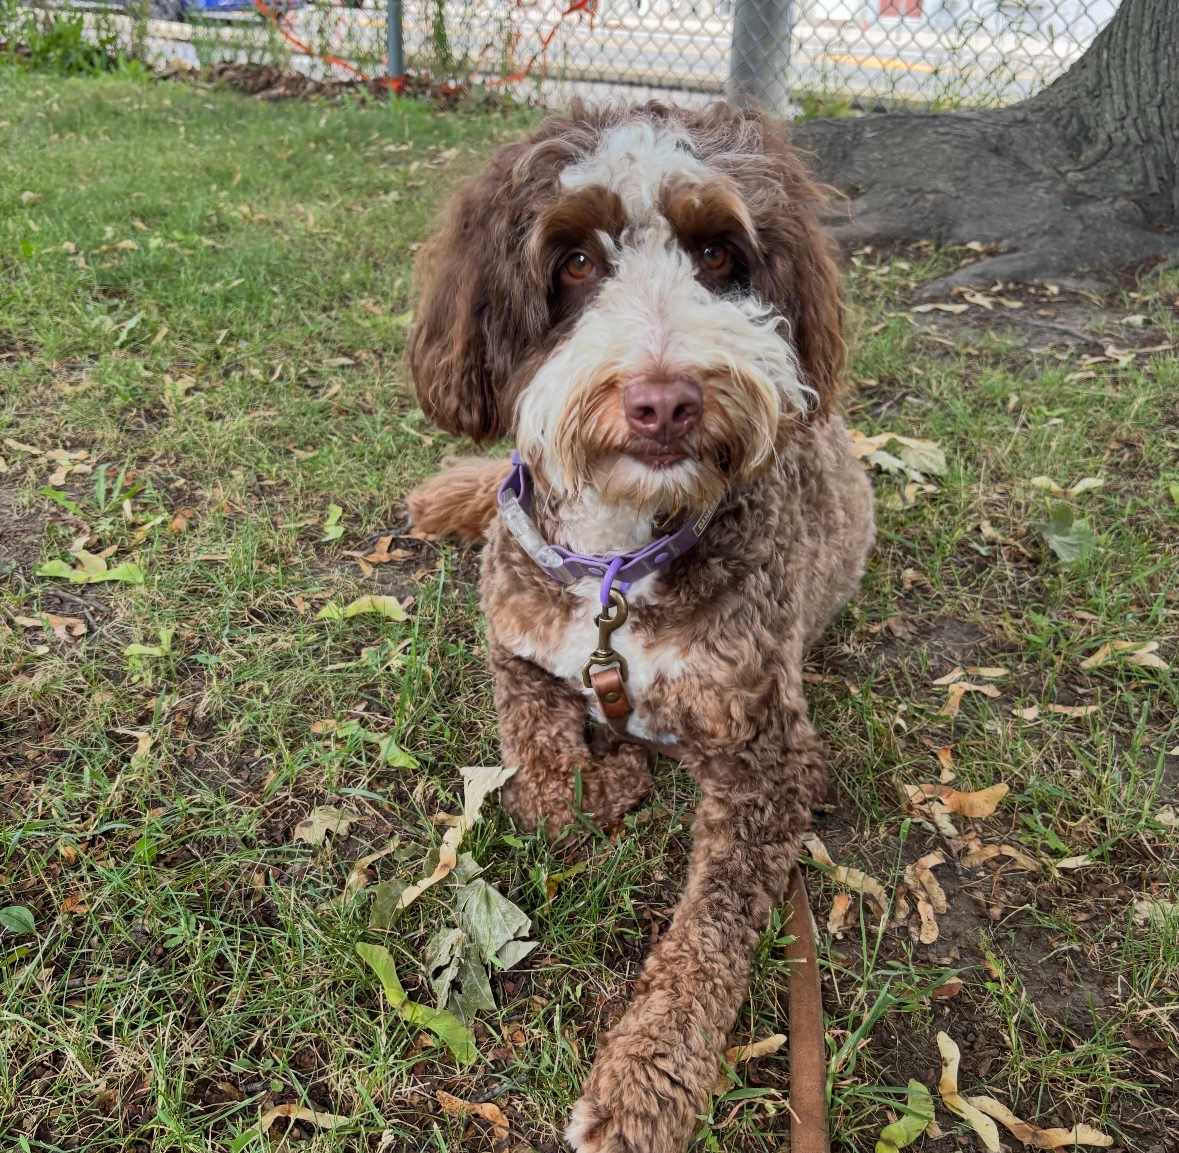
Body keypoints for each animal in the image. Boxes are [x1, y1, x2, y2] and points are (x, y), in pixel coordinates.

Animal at [406, 101, 875, 1153]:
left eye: (717, 253)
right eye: (576, 261)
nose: (665, 400)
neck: (615, 567)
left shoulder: (771, 756)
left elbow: (708, 932)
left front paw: (644, 1079)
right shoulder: (512, 642)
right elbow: (537, 760)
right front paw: (603, 773)